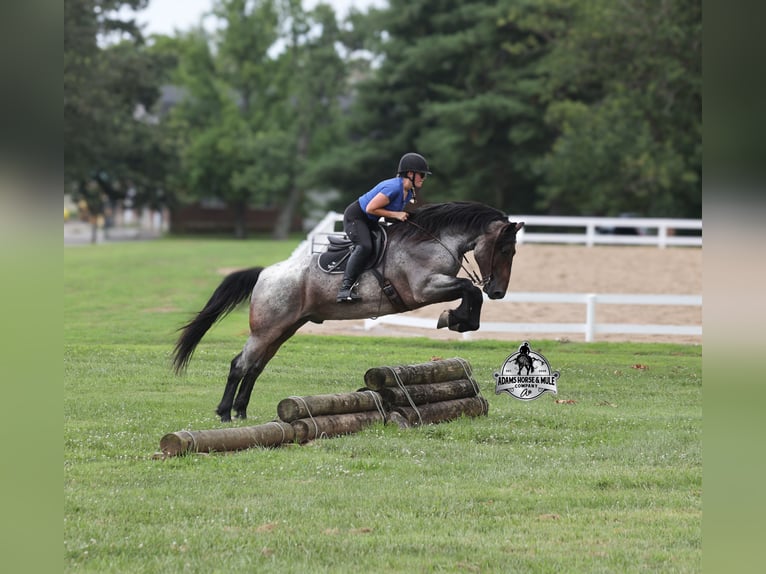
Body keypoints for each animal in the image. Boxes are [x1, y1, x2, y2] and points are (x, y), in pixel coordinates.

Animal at [173, 201, 524, 421]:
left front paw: (459, 320)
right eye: (505, 249)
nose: (498, 291)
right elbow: (469, 289)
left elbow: (469, 292)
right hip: (266, 329)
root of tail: (265, 274)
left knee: (255, 367)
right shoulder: (423, 289)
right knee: (240, 364)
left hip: (284, 329)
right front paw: (454, 319)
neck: (430, 242)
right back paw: (224, 412)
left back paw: (242, 411)